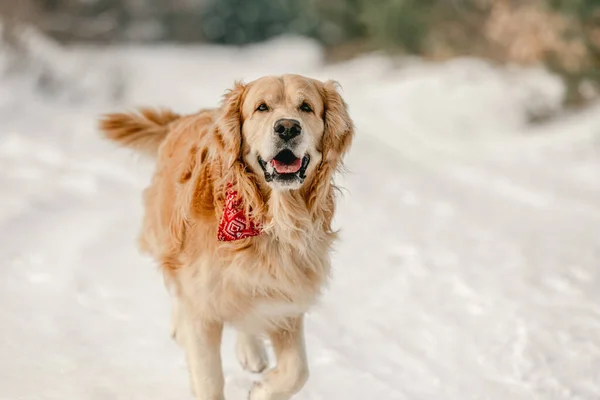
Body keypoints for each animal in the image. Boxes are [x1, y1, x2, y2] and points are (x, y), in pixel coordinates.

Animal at [98, 73, 352, 398]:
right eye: (262, 107)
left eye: (306, 107)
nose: (287, 127)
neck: (269, 221)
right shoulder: (202, 308)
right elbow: (208, 378)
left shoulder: (286, 299)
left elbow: (298, 371)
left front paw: (262, 389)